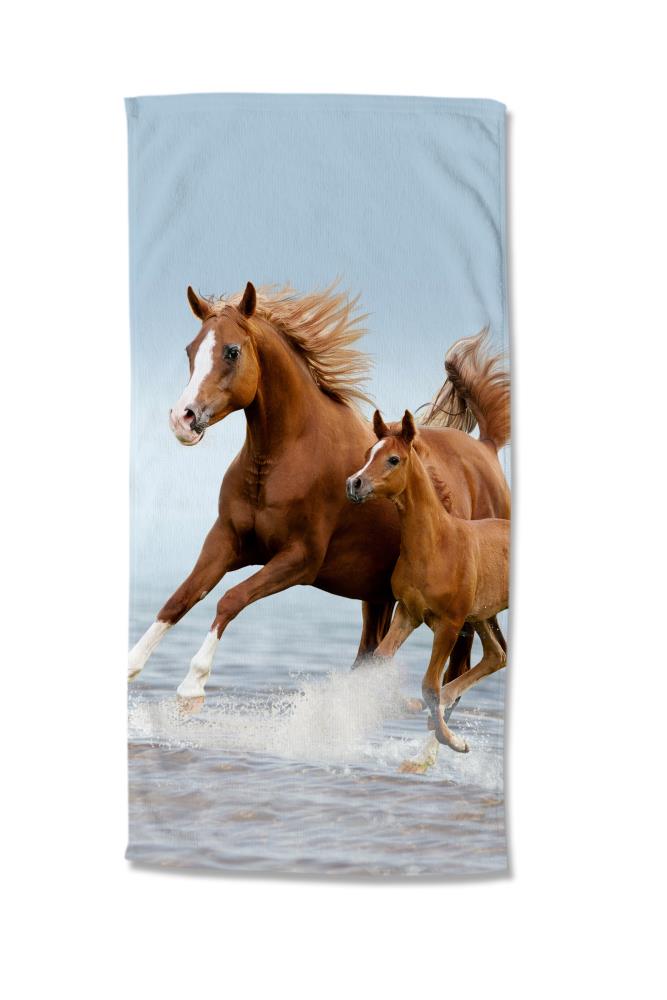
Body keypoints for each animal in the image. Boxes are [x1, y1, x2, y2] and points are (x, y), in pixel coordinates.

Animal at [128, 281, 510, 701]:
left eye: (231, 351)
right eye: (190, 350)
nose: (183, 419)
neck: (282, 459)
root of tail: (488, 447)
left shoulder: (300, 558)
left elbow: (231, 599)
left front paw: (192, 685)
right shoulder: (225, 541)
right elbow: (179, 599)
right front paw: (132, 666)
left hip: (465, 610)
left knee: (461, 667)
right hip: (379, 596)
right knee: (372, 655)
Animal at [346, 409, 509, 768]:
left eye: (393, 459)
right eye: (367, 454)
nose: (354, 484)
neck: (436, 544)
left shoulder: (449, 624)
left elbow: (429, 685)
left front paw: (454, 741)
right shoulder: (408, 613)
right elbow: (381, 660)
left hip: (474, 618)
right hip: (482, 615)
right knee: (496, 655)